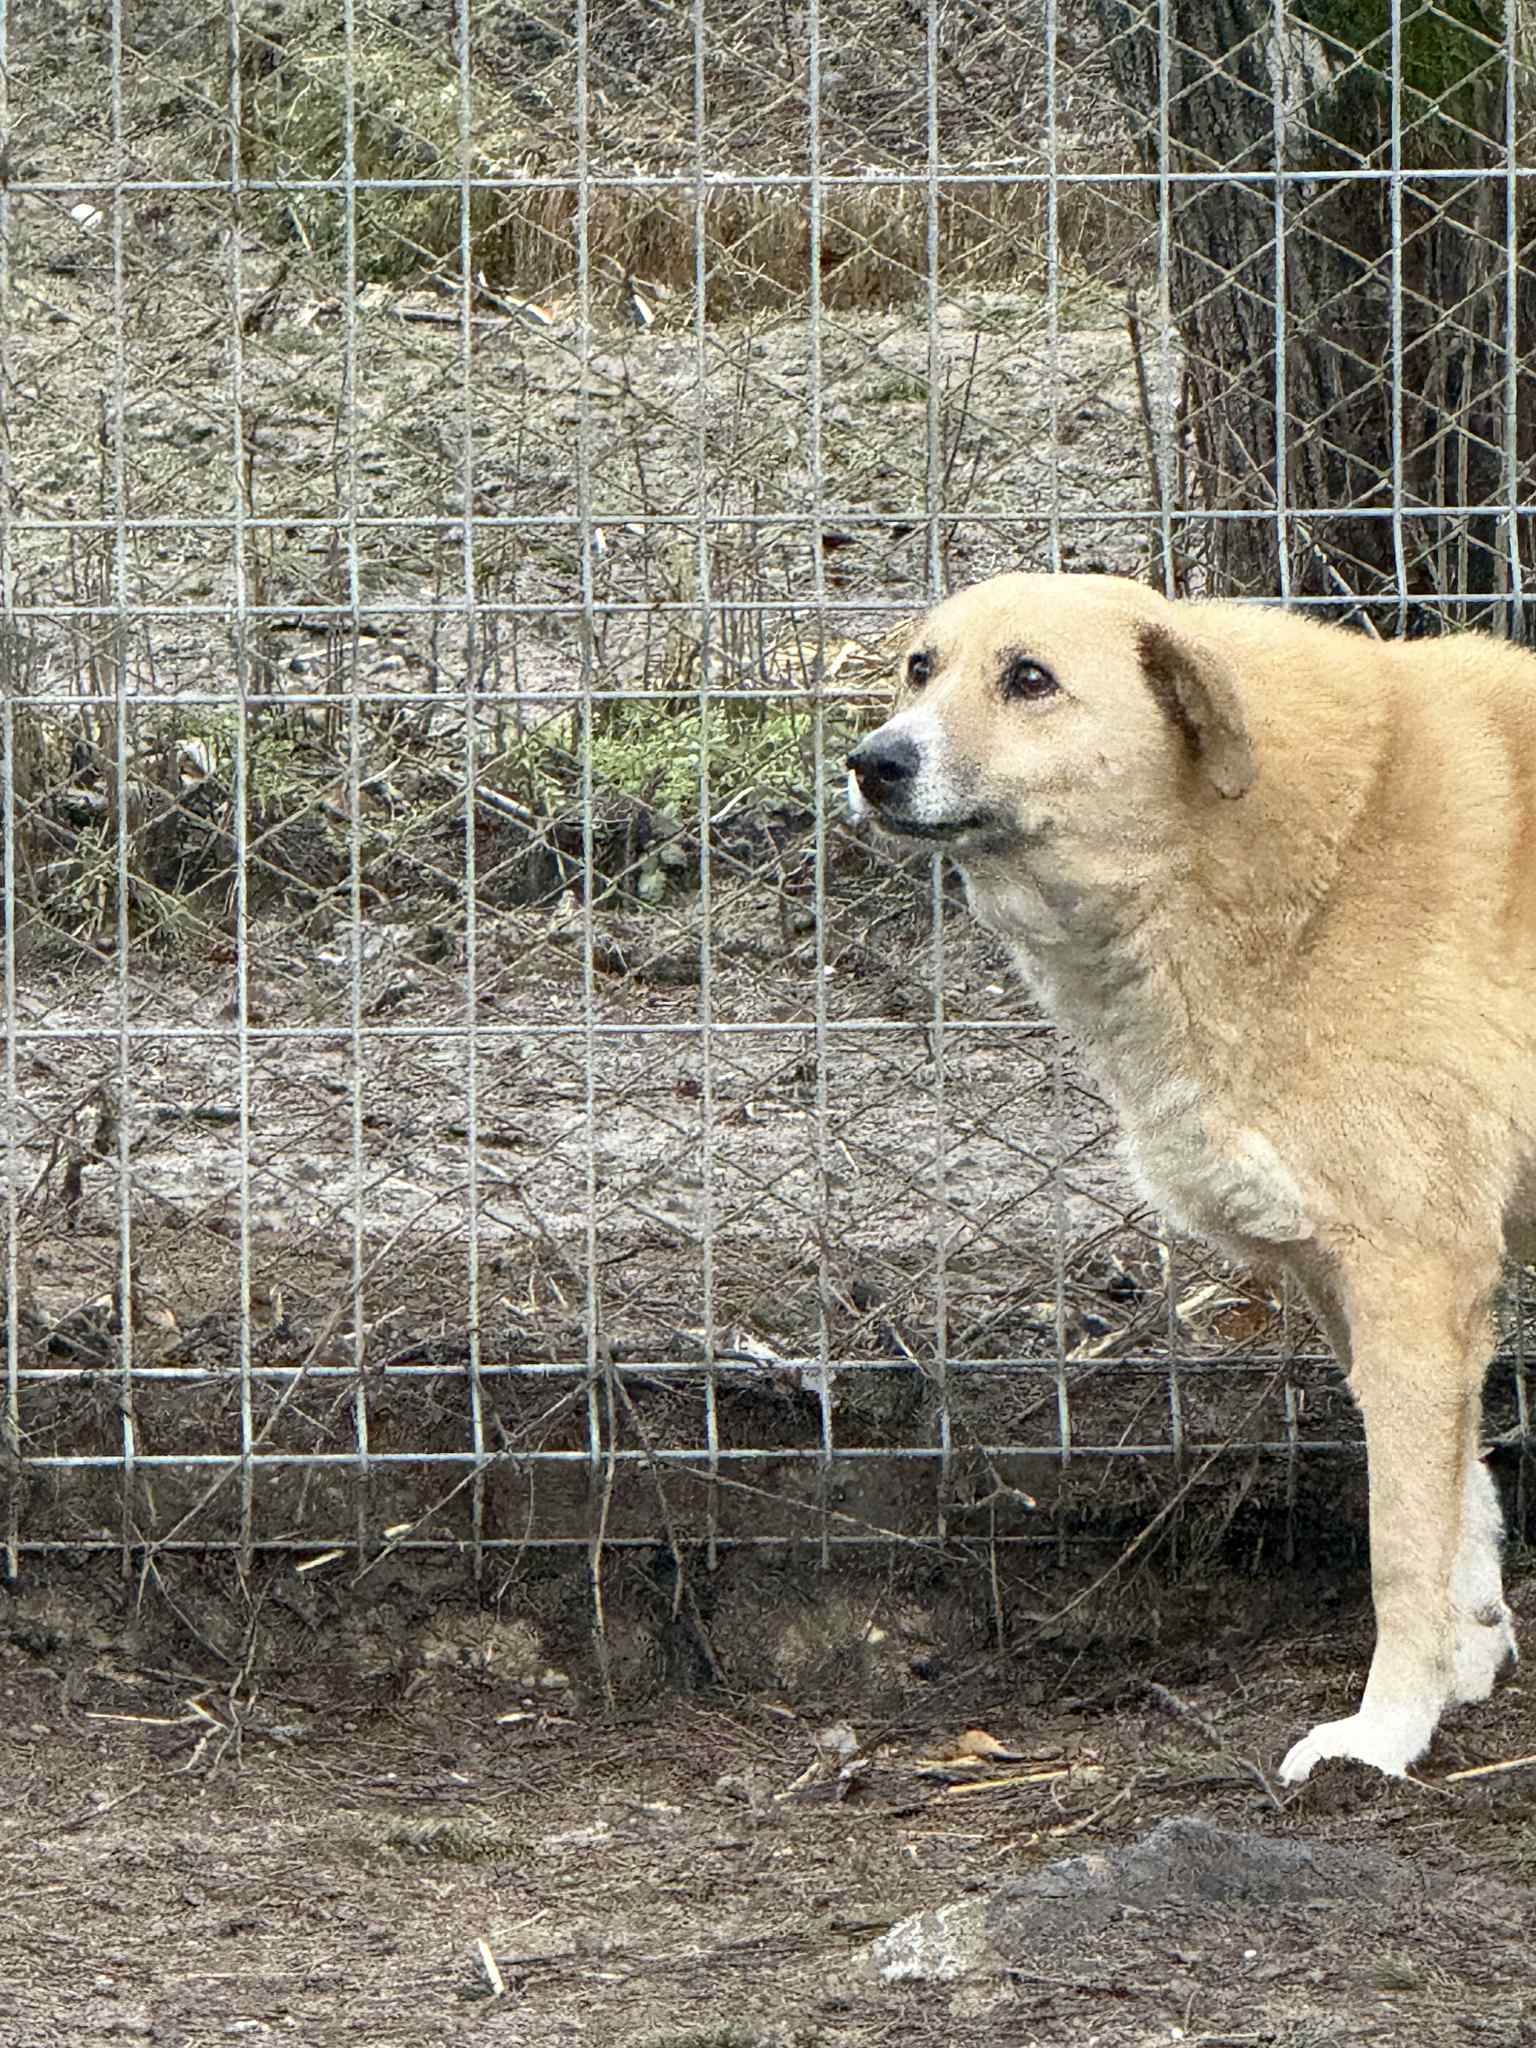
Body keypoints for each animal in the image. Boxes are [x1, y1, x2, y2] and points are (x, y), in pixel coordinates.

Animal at [847, 570, 1530, 1784]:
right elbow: (1461, 1508)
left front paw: (1383, 1735)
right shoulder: (1366, 1285)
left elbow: (1402, 1546)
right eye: (920, 668)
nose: (872, 761)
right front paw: (1465, 1665)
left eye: (1030, 678)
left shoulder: (1414, 1274)